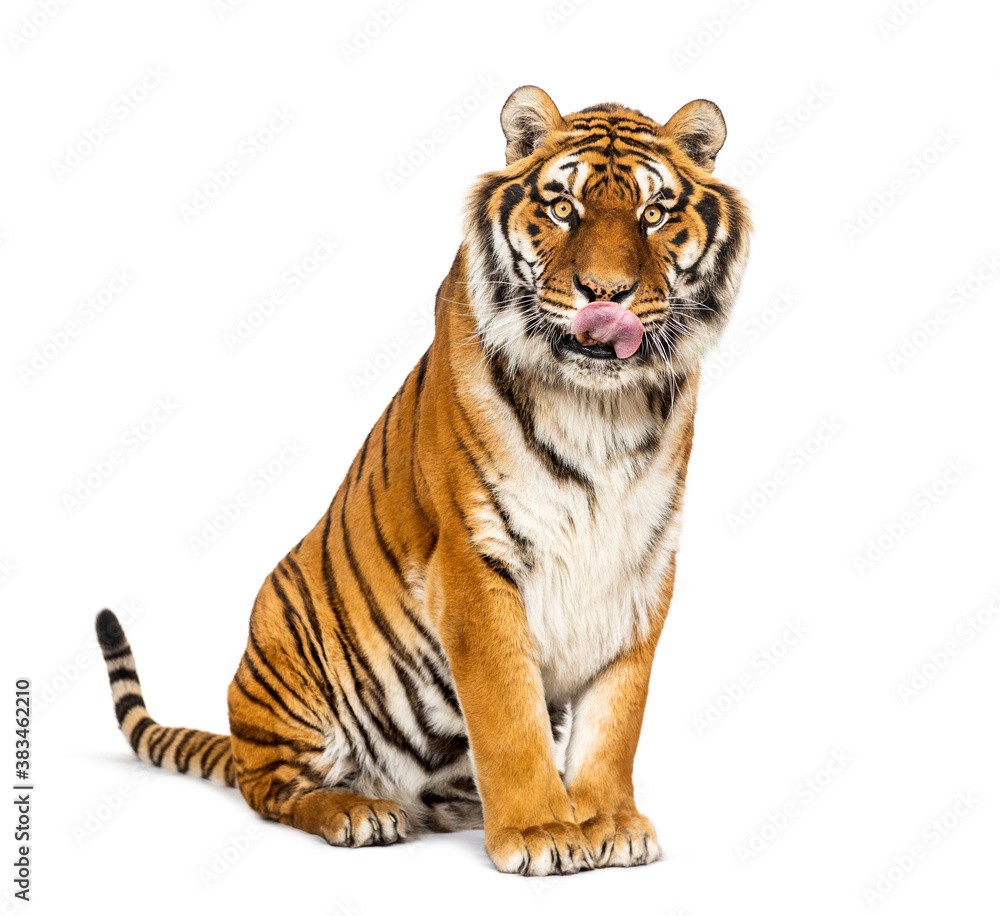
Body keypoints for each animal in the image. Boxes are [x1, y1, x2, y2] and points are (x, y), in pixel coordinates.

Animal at [96, 85, 751, 877]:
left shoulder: (640, 564)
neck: (600, 407)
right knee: (271, 789)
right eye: (564, 207)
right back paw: (357, 812)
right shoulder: (474, 560)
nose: (607, 293)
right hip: (283, 642)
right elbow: (507, 714)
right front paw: (541, 831)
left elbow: (616, 716)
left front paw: (608, 821)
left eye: (654, 215)